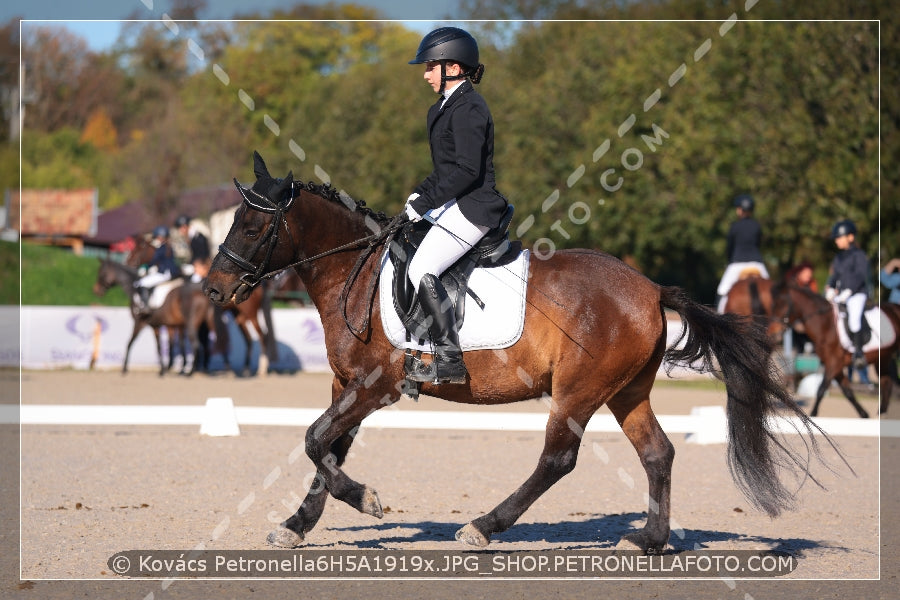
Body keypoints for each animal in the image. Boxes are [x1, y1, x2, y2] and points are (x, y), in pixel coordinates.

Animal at [125, 230, 276, 376]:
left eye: (138, 249)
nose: (129, 263)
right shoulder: (177, 324)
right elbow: (180, 343)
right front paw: (182, 367)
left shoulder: (148, 322)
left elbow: (138, 342)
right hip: (239, 317)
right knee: (247, 339)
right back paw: (244, 368)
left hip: (249, 314)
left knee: (261, 336)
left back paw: (260, 369)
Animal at [202, 154, 836, 552]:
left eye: (254, 227)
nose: (212, 291)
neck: (352, 273)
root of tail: (650, 287)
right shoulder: (346, 386)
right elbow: (326, 449)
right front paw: (296, 525)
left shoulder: (375, 386)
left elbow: (315, 440)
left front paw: (368, 501)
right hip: (626, 391)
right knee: (657, 453)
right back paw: (649, 540)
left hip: (578, 391)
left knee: (558, 459)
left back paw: (483, 527)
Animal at [768, 284, 900, 418]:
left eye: (782, 305)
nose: (772, 333)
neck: (826, 325)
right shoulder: (834, 365)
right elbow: (848, 392)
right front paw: (864, 414)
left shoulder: (834, 363)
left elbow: (821, 390)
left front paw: (813, 415)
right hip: (883, 358)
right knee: (887, 383)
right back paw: (882, 413)